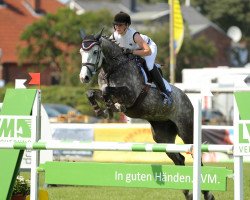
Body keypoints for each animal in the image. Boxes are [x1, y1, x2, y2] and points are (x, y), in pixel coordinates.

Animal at [78, 29, 215, 200]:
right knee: (179, 158)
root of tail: (187, 98)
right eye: (81, 52)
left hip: (186, 130)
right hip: (162, 136)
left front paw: (112, 106)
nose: (84, 77)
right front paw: (102, 111)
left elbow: (107, 91)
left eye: (95, 52)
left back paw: (208, 194)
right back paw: (187, 193)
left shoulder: (131, 94)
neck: (113, 68)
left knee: (196, 156)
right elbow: (92, 93)